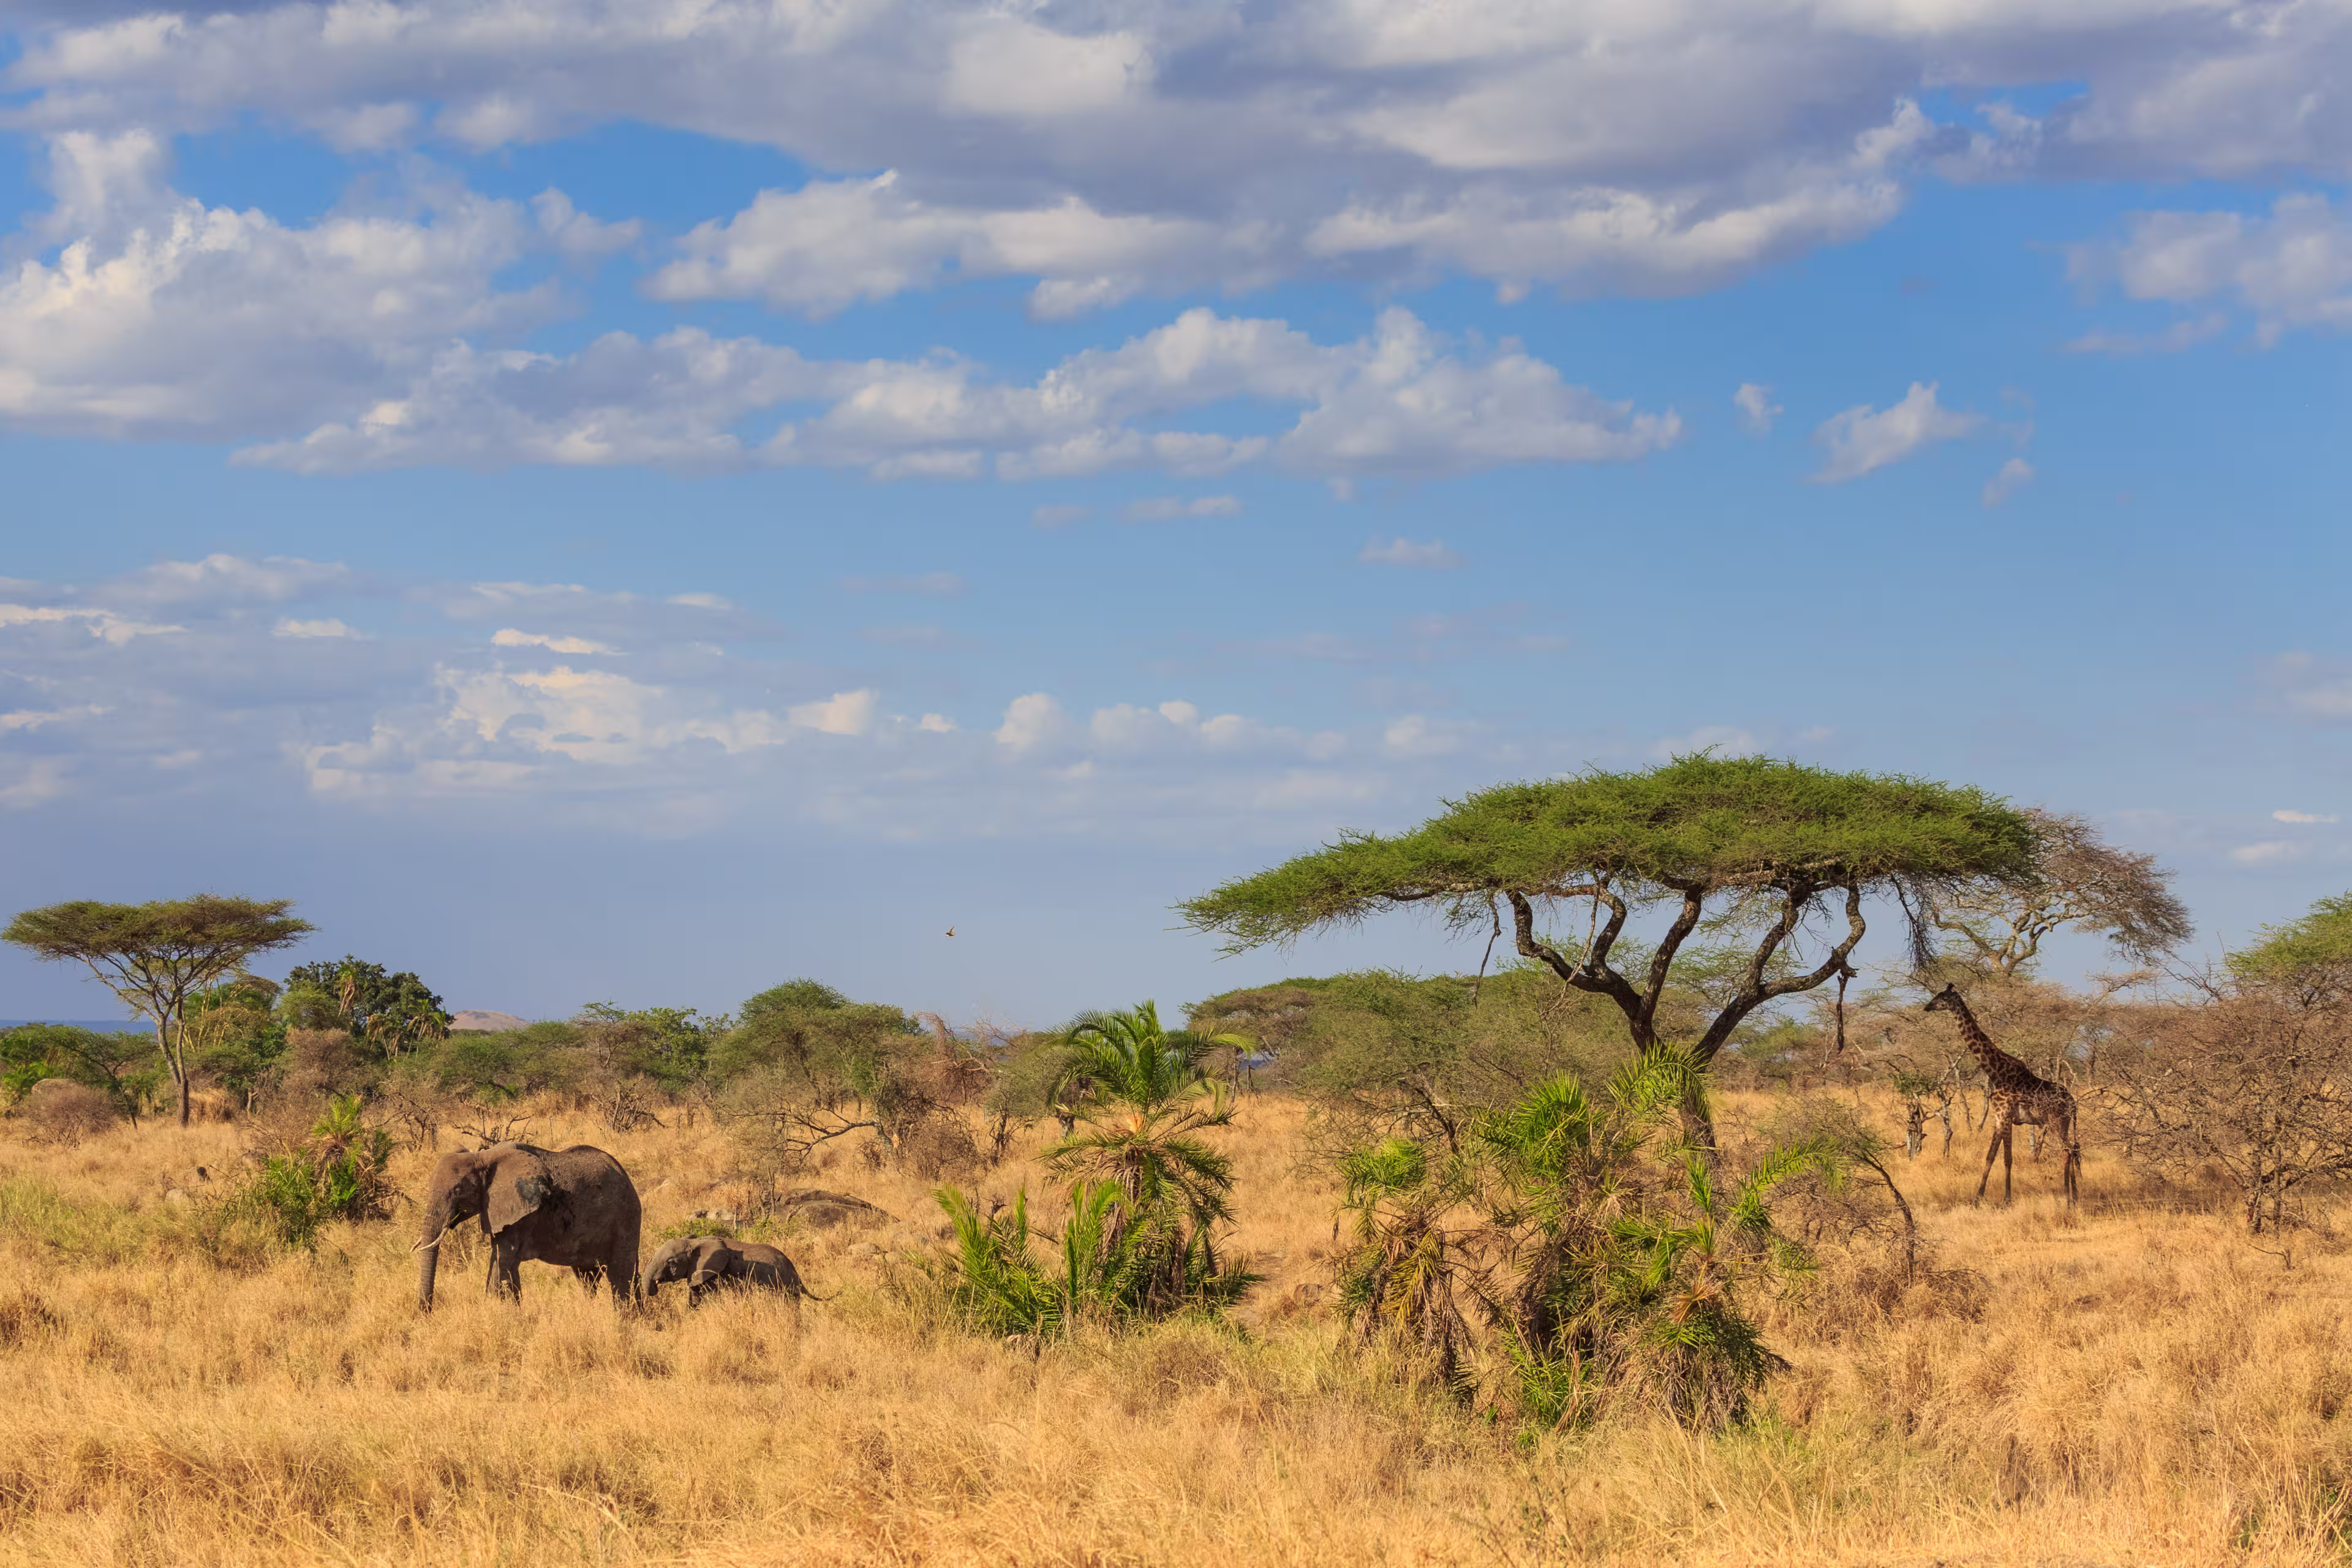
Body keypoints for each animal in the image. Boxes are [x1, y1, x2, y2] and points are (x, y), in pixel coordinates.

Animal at [414, 1141, 642, 1312]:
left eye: (457, 1190)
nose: (426, 1313)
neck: (482, 1157)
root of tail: (625, 1176)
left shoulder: (522, 1214)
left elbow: (504, 1260)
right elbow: (502, 1261)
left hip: (625, 1217)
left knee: (620, 1276)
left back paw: (624, 1319)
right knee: (588, 1278)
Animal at [639, 1235, 830, 1307]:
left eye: (671, 1263)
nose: (655, 1286)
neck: (695, 1241)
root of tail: (795, 1271)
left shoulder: (716, 1274)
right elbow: (694, 1299)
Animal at [1922, 984, 2079, 1205]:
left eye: (1942, 997)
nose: (1927, 1007)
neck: (1996, 1071)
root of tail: (2073, 1103)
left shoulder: (2005, 1115)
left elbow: (2007, 1158)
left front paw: (2006, 1200)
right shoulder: (1999, 1117)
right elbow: (1990, 1156)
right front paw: (1977, 1198)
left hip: (2057, 1121)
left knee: (2067, 1151)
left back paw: (2067, 1197)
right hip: (2065, 1124)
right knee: (2073, 1149)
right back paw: (2075, 1194)